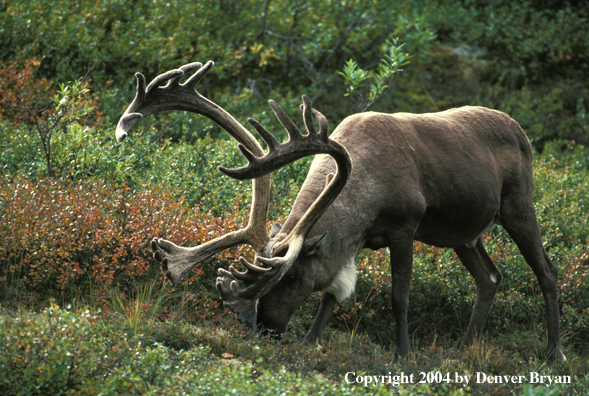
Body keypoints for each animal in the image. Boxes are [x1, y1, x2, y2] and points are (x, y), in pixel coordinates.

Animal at [116, 62, 564, 362]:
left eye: (289, 275)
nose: (267, 329)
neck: (363, 177)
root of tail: (520, 129)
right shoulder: (357, 238)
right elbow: (333, 292)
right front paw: (310, 340)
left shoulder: (404, 227)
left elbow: (399, 295)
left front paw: (403, 355)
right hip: (463, 234)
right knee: (490, 277)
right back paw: (464, 347)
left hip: (518, 205)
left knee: (547, 272)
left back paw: (553, 351)